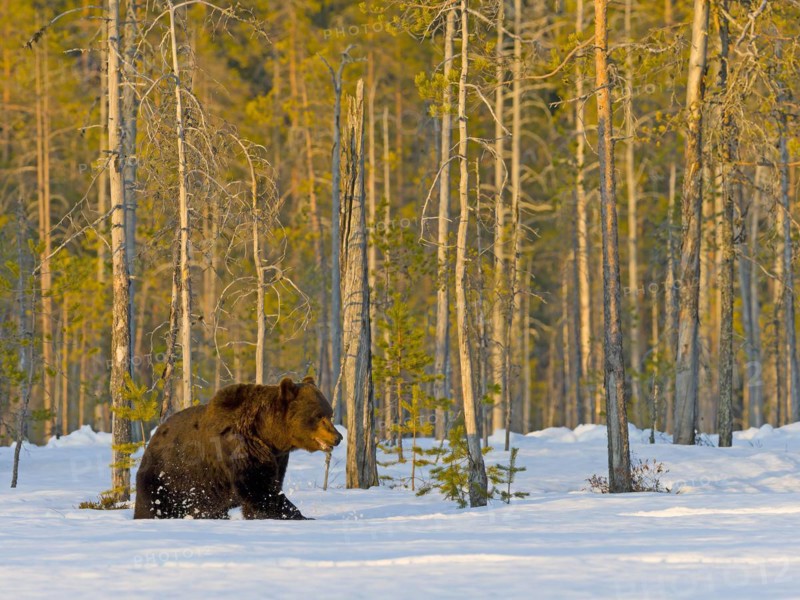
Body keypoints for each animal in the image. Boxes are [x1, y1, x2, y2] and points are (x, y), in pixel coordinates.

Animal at [133, 375, 341, 520]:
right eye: (318, 415)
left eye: (329, 413)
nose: (338, 437)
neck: (268, 435)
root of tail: (153, 438)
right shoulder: (240, 448)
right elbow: (259, 489)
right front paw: (300, 515)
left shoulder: (277, 457)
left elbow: (268, 486)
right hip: (164, 478)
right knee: (152, 506)